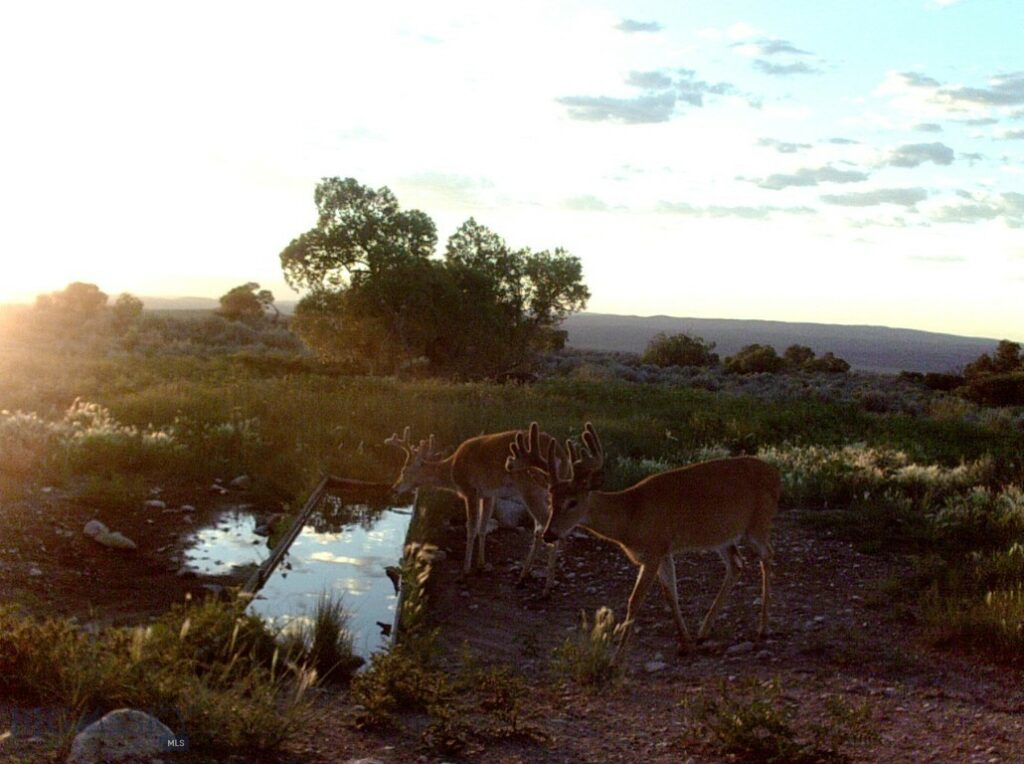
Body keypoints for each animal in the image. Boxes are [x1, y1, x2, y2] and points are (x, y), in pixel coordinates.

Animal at [387, 421, 573, 593]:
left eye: (404, 471)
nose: (394, 488)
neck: (452, 472)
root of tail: (562, 456)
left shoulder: (470, 490)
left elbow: (471, 528)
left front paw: (464, 572)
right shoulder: (488, 494)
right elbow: (483, 527)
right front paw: (481, 565)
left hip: (529, 487)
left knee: (548, 527)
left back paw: (547, 587)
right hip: (543, 492)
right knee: (539, 530)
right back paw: (523, 577)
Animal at [507, 419, 778, 663]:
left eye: (572, 502)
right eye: (550, 501)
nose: (549, 534)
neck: (631, 516)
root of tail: (774, 474)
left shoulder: (654, 550)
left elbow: (634, 601)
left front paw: (616, 658)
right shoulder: (664, 551)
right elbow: (671, 595)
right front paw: (686, 644)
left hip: (758, 523)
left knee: (767, 555)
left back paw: (763, 629)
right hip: (722, 536)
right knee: (737, 564)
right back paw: (703, 632)